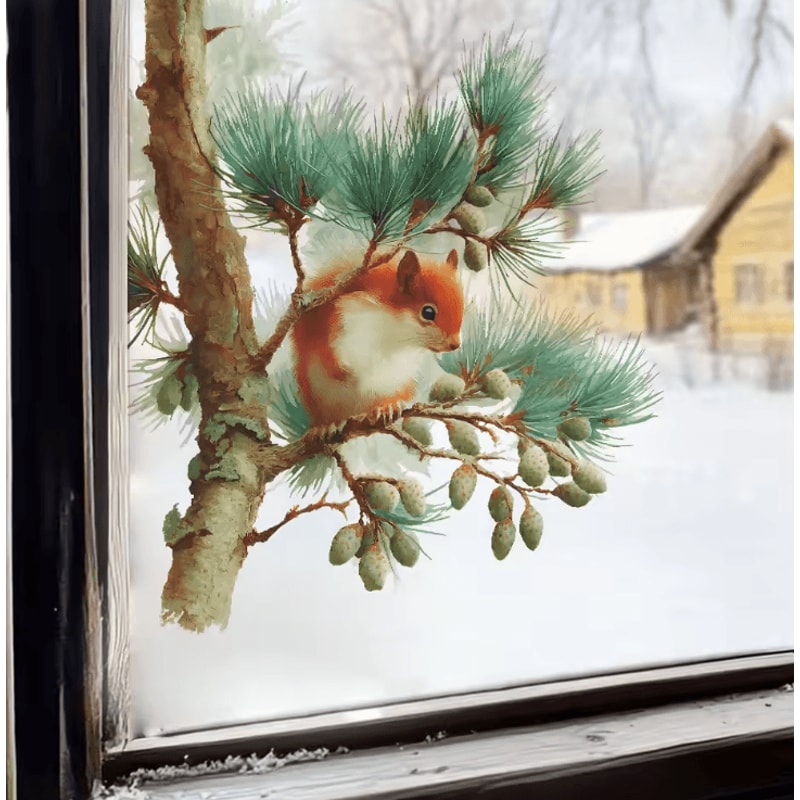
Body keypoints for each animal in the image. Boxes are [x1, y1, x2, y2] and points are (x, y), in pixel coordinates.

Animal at [292, 248, 464, 429]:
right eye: (428, 312)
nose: (455, 345)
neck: (393, 330)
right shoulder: (336, 316)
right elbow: (326, 347)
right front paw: (339, 368)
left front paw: (388, 405)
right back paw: (326, 425)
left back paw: (386, 406)